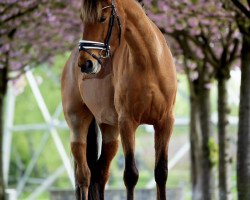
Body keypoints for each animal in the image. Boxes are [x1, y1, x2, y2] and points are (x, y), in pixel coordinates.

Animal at [61, 0, 177, 200]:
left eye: (102, 18)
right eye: (82, 19)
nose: (85, 63)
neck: (149, 65)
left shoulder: (165, 122)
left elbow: (161, 172)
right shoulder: (127, 123)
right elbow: (130, 175)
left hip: (110, 132)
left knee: (100, 173)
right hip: (78, 127)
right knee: (84, 175)